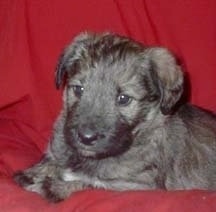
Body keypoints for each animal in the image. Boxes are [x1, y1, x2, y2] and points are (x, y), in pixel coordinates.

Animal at [13, 31, 216, 202]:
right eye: (78, 89)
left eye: (123, 99)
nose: (86, 138)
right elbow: (53, 162)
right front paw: (35, 172)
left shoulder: (140, 185)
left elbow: (92, 183)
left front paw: (53, 186)